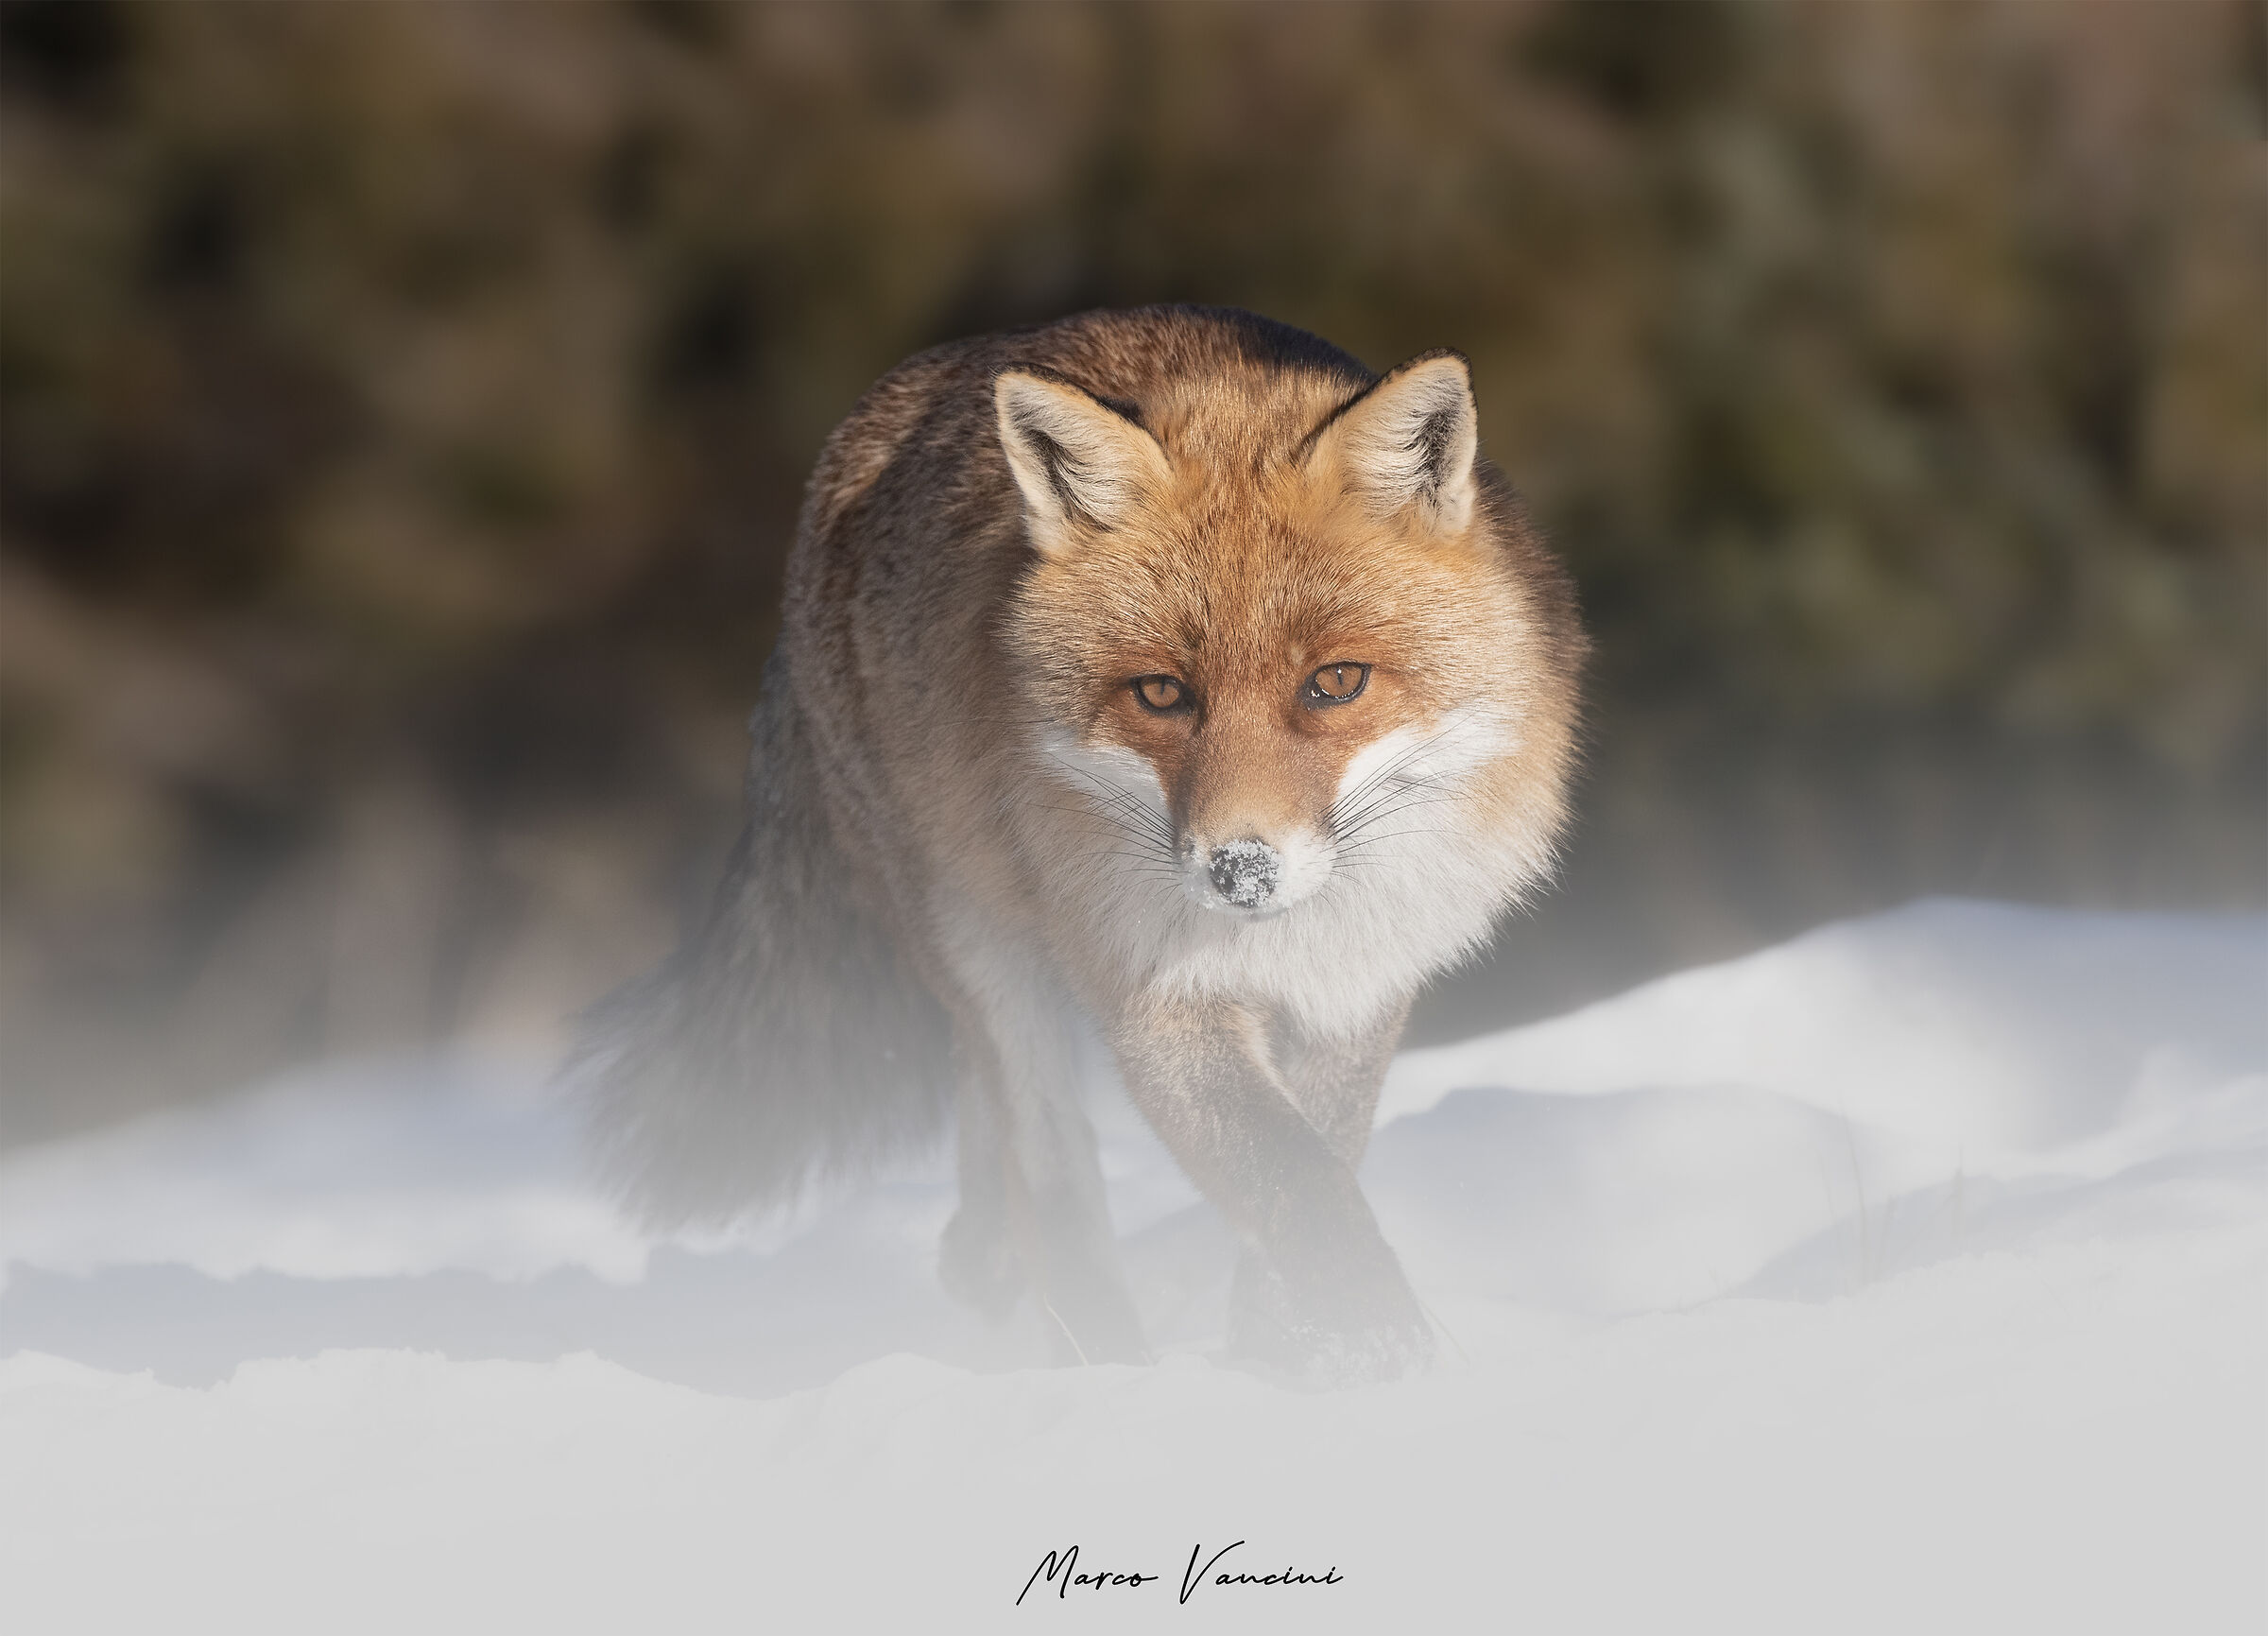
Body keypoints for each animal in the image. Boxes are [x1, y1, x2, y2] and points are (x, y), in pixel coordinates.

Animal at [574, 305, 1583, 1381]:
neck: (1282, 940)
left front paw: (1282, 1351)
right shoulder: (1150, 992)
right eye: (1161, 692)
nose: (1239, 869)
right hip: (982, 955)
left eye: (1337, 682)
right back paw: (1100, 1370)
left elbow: (1317, 1166)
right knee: (1049, 1177)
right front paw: (1372, 1349)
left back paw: (979, 1261)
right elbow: (1293, 1181)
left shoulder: (1361, 983)